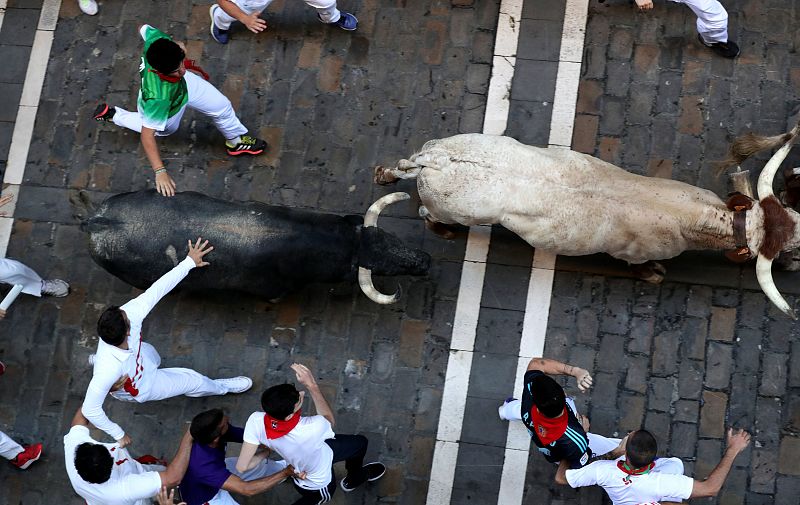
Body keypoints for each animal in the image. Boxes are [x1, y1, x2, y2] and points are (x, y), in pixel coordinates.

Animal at [374, 132, 800, 316]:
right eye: (790, 250)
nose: (795, 267)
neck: (690, 217)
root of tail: (434, 161)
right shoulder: (633, 254)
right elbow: (646, 270)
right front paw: (655, 274)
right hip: (453, 210)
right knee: (427, 217)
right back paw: (447, 231)